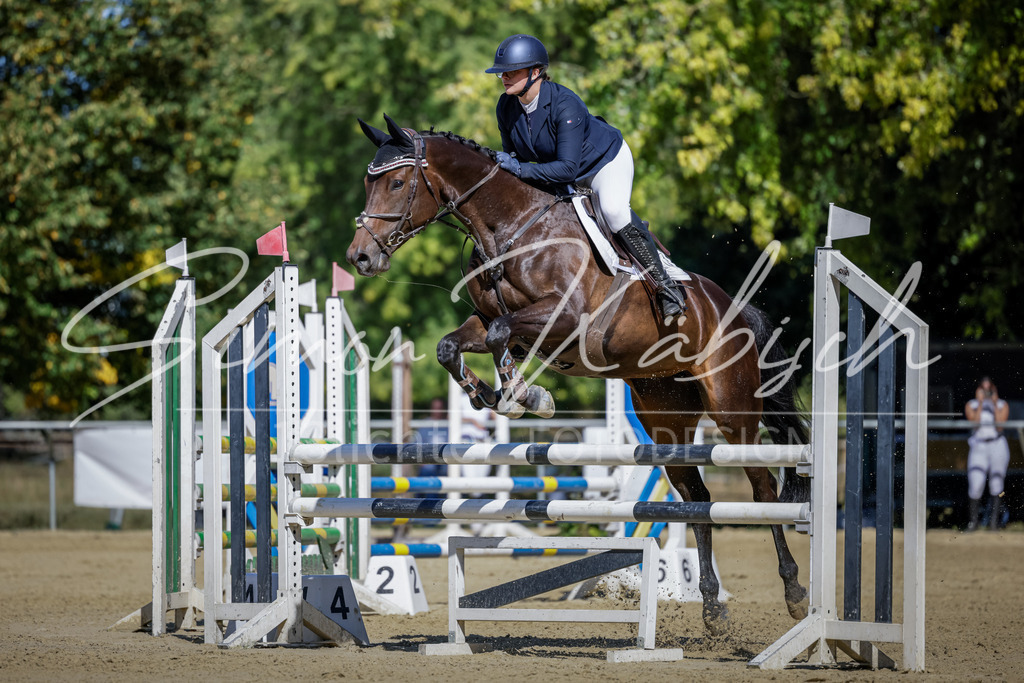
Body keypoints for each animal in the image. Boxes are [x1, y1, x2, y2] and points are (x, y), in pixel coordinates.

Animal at [346, 114, 810, 632]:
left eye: (397, 183)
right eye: (368, 183)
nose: (359, 257)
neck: (510, 231)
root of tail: (734, 308)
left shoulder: (565, 320)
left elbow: (500, 335)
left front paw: (522, 396)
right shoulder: (490, 321)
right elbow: (455, 345)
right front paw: (494, 394)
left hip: (732, 409)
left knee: (762, 488)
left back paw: (793, 592)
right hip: (665, 419)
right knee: (698, 497)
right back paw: (712, 609)